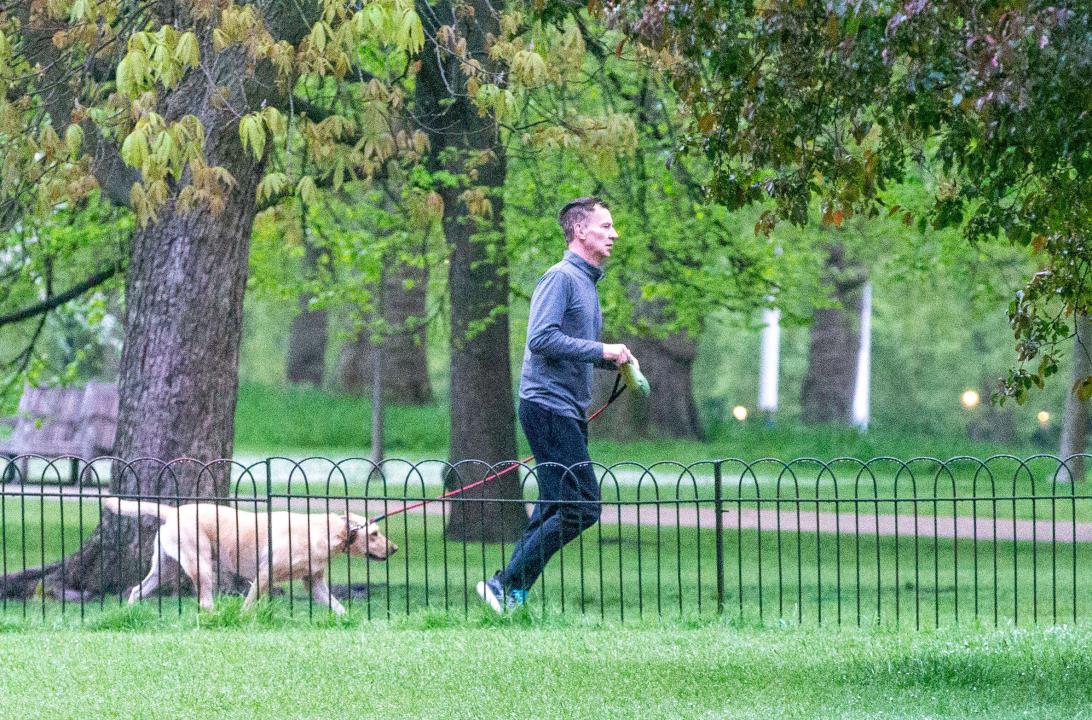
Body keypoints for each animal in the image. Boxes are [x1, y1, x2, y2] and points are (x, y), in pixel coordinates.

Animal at [103, 498, 397, 616]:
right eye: (374, 534)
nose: (394, 549)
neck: (321, 532)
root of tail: (173, 512)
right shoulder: (264, 575)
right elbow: (249, 604)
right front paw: (244, 619)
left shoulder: (314, 583)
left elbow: (336, 605)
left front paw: (348, 619)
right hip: (200, 565)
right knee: (205, 601)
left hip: (164, 569)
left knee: (137, 589)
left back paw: (130, 611)